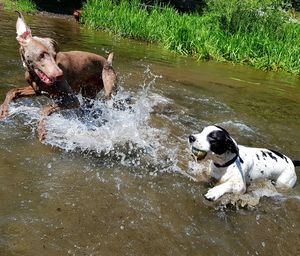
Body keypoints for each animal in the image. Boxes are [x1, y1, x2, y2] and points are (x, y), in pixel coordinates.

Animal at [0, 12, 117, 140]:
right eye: (42, 54)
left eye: (55, 55)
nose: (59, 75)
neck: (35, 76)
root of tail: (108, 61)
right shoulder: (36, 89)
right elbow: (13, 91)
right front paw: (3, 110)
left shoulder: (72, 100)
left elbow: (45, 109)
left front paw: (41, 130)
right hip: (89, 94)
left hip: (108, 88)